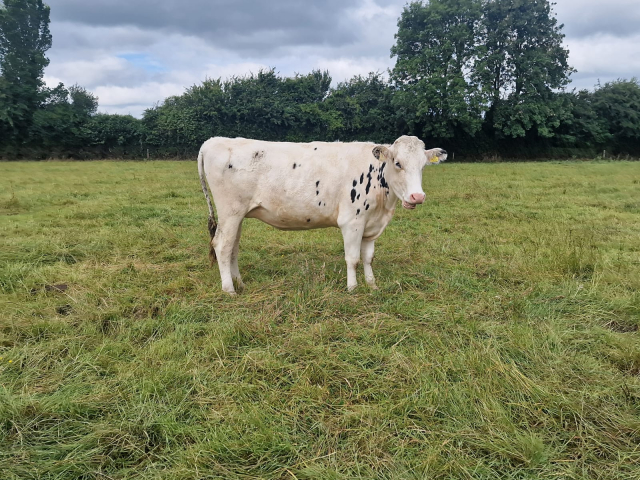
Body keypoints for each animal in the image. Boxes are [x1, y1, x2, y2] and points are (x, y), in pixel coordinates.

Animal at [198, 133, 448, 294]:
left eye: (423, 165)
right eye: (398, 163)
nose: (417, 196)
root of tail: (214, 141)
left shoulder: (371, 224)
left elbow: (368, 257)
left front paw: (372, 284)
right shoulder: (352, 221)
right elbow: (352, 258)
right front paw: (352, 288)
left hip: (237, 215)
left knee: (233, 247)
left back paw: (239, 283)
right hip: (230, 211)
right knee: (222, 245)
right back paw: (229, 289)